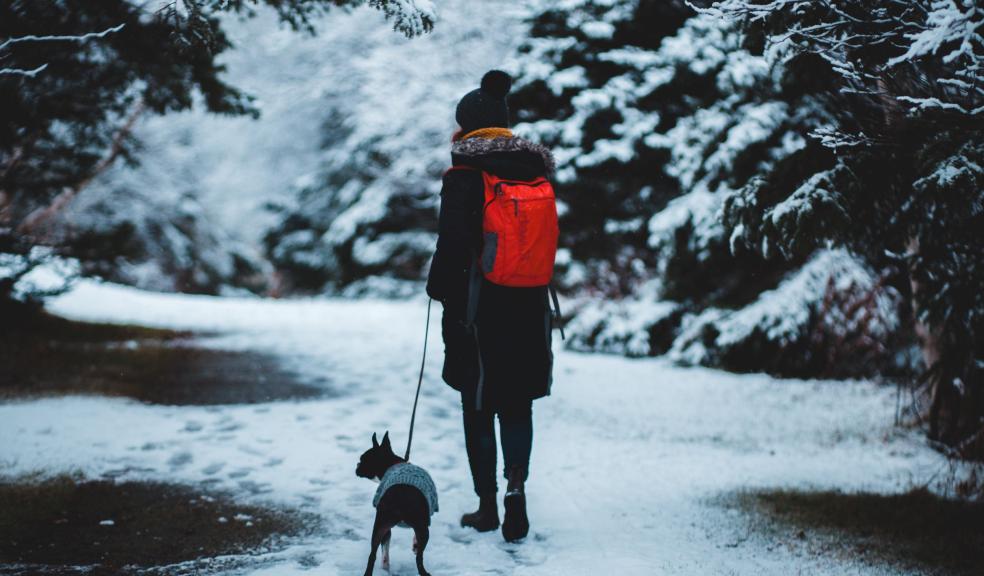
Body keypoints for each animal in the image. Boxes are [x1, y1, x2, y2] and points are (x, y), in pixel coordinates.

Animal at [358, 432, 438, 576]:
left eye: (363, 459)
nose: (357, 465)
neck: (393, 462)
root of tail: (400, 497)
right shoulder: (426, 520)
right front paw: (415, 545)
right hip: (422, 529)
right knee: (419, 558)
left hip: (380, 525)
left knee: (373, 554)